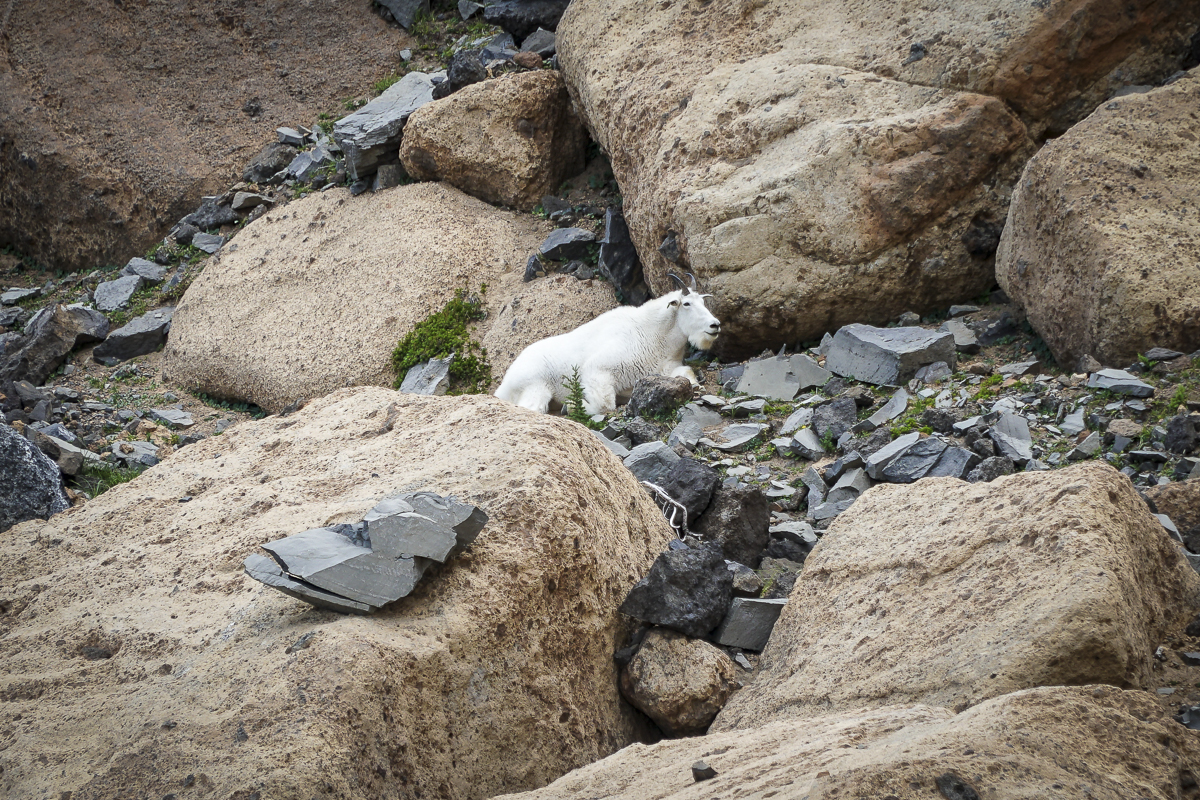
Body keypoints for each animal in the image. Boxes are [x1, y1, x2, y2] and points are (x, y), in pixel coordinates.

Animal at [494, 274, 721, 415]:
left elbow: (687, 374)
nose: (715, 325)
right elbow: (605, 404)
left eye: (703, 302)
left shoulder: (665, 369)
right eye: (687, 304)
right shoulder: (598, 370)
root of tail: (503, 386)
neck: (654, 336)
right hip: (535, 386)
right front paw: (572, 406)